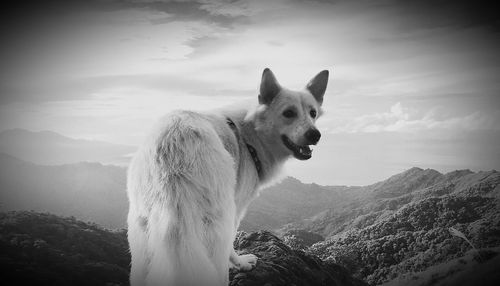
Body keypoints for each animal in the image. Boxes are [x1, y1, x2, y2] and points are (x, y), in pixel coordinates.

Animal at [126, 68, 328, 284]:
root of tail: (172, 148)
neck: (249, 134)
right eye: (289, 113)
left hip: (141, 231)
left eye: (313, 113)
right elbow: (232, 243)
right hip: (218, 221)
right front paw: (240, 263)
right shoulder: (237, 208)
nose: (315, 134)